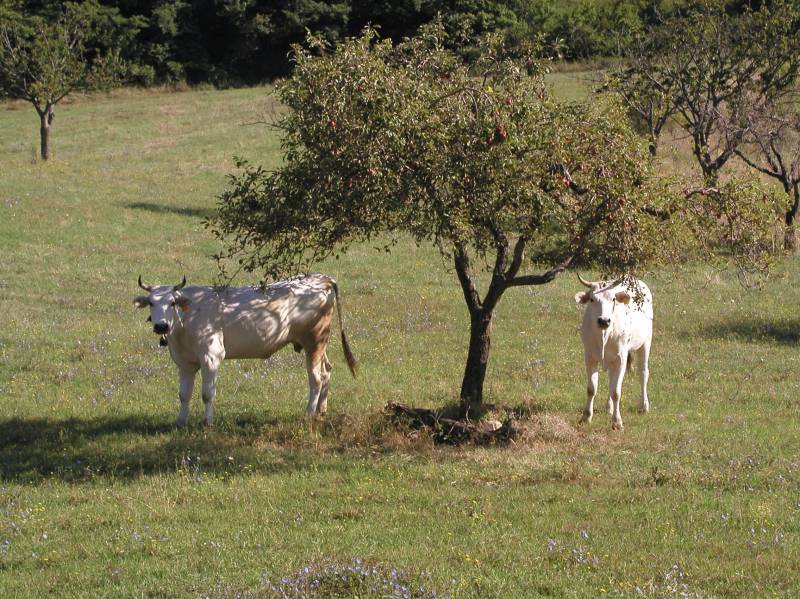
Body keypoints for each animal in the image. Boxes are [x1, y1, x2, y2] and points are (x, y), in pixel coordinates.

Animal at [134, 274, 356, 424]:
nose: (161, 326)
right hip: (320, 344)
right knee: (326, 372)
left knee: (316, 379)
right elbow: (183, 394)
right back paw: (321, 412)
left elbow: (207, 394)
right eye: (151, 303)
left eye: (172, 303)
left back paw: (308, 415)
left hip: (314, 342)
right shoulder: (185, 363)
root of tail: (322, 278)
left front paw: (208, 423)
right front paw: (181, 422)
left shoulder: (211, 357)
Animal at [572, 274, 652, 434]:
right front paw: (586, 417)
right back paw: (608, 407)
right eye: (592, 299)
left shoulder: (621, 358)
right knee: (610, 378)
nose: (604, 320)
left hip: (645, 342)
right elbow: (591, 388)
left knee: (643, 373)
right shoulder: (590, 357)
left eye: (613, 299)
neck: (604, 335)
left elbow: (616, 391)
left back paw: (644, 406)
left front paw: (617, 422)